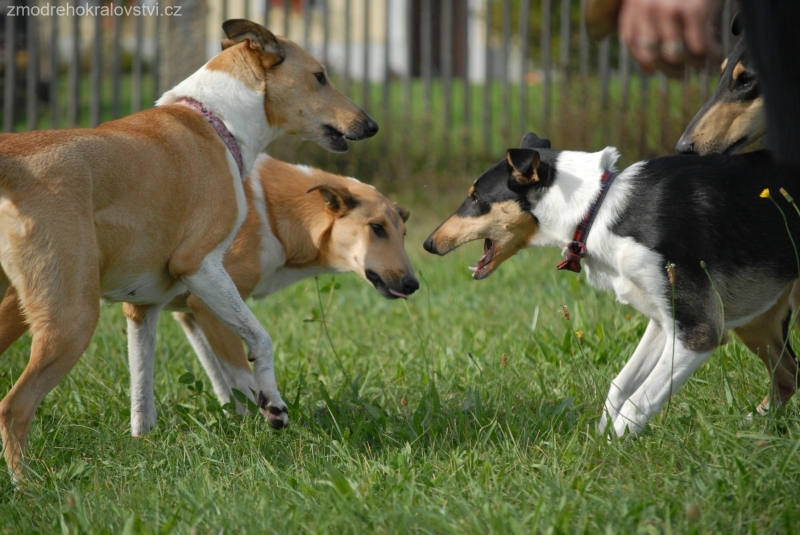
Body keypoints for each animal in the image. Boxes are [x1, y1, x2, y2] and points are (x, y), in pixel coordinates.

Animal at [0, 19, 378, 482]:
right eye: (320, 76)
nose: (370, 125)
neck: (218, 121)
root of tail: (15, 166)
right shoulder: (201, 267)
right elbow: (259, 340)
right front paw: (271, 404)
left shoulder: (143, 309)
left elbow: (142, 399)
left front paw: (143, 449)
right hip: (72, 317)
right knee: (14, 406)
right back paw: (28, 486)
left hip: (15, 307)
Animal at [428, 133, 800, 436]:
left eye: (476, 198)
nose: (428, 244)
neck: (595, 210)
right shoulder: (664, 322)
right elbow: (619, 386)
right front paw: (600, 436)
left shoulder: (699, 331)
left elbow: (640, 400)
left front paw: (612, 447)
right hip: (757, 319)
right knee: (788, 375)